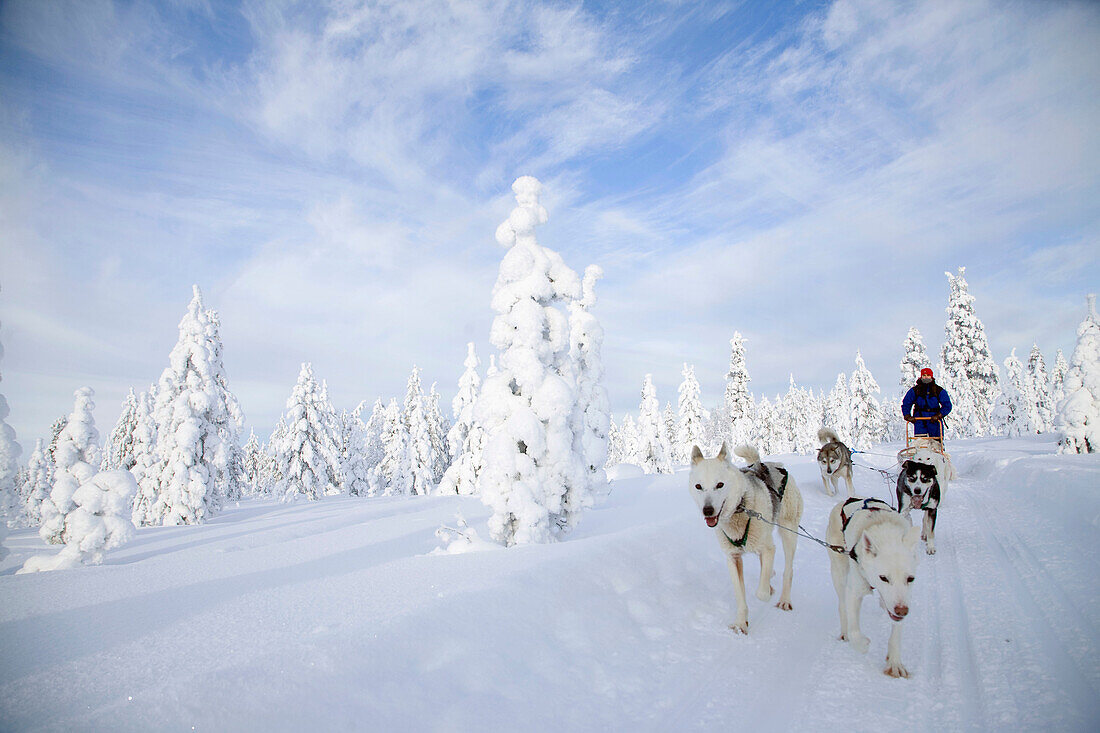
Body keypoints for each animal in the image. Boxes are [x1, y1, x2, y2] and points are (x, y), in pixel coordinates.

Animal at [686, 442, 800, 629]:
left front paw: (766, 591)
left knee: (788, 570)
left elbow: (761, 593)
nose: (707, 510)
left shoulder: (768, 548)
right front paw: (741, 623)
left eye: (720, 484)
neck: (740, 508)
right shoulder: (733, 558)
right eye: (698, 486)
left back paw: (784, 599)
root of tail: (773, 464)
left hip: (788, 533)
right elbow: (740, 596)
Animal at [827, 493, 919, 677]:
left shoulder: (904, 598)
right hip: (839, 571)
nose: (902, 611)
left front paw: (895, 662)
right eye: (883, 577)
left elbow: (896, 633)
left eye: (910, 579)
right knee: (842, 606)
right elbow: (855, 630)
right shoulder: (854, 592)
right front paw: (862, 644)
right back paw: (845, 631)